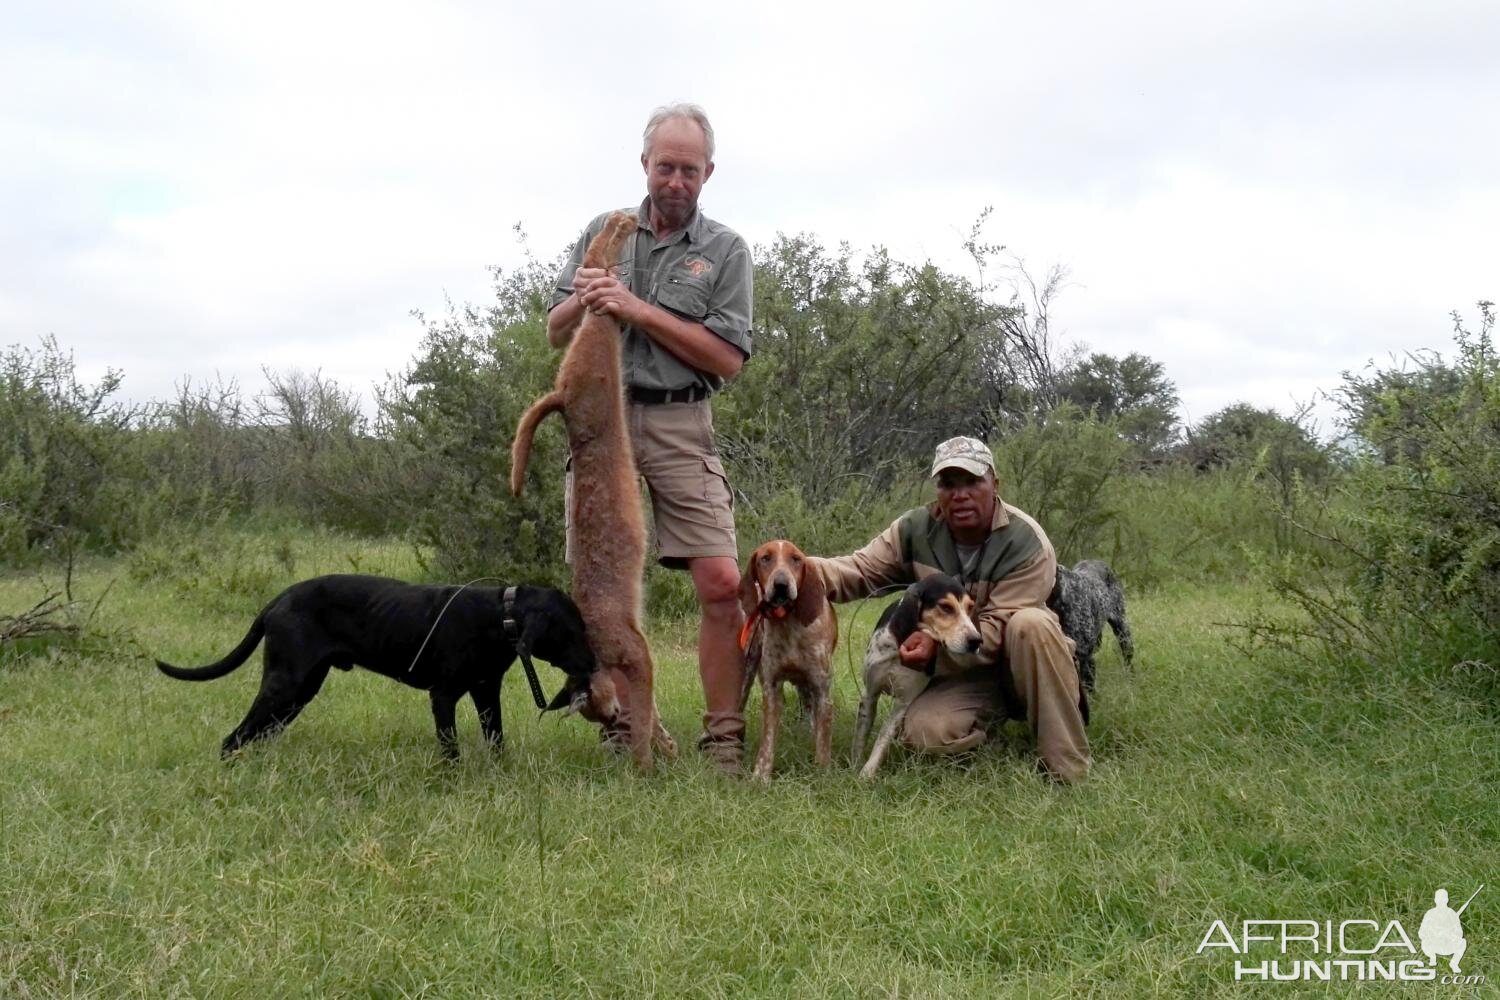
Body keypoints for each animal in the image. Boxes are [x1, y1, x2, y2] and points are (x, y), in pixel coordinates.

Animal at [155, 575, 618, 761]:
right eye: (572, 631)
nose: (595, 664)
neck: (498, 617)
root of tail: (277, 601)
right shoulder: (444, 695)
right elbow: (450, 748)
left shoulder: (486, 692)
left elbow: (497, 741)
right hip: (285, 685)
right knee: (232, 738)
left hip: (298, 692)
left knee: (257, 734)